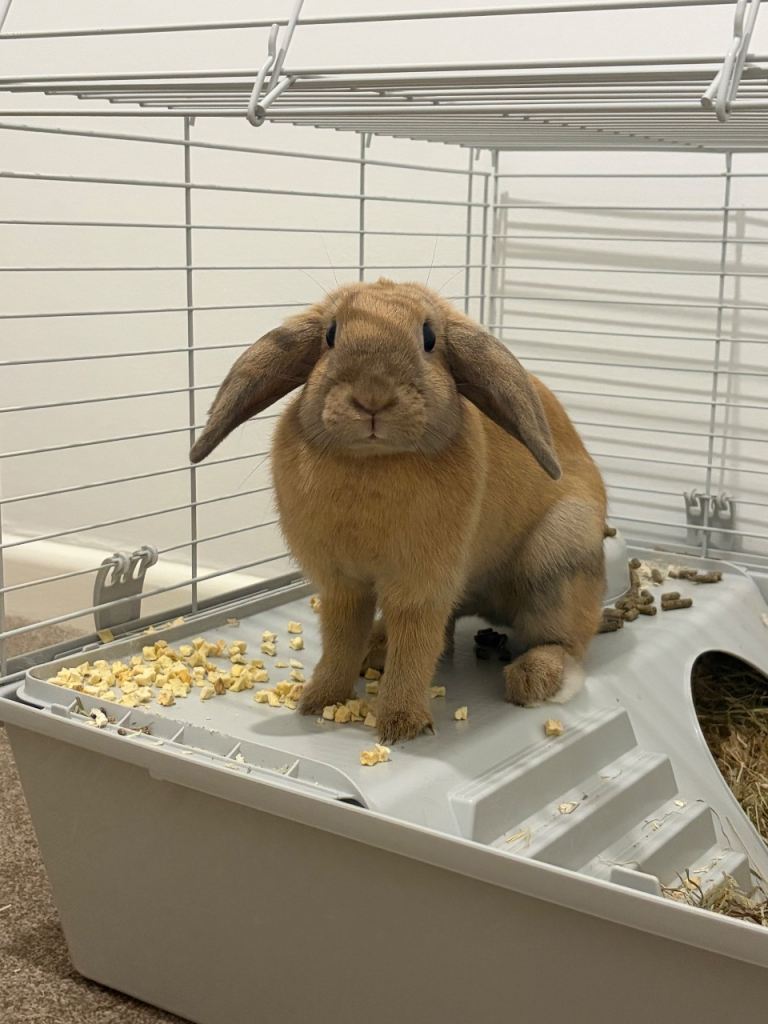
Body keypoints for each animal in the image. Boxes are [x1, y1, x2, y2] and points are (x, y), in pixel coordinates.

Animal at [190, 279, 607, 744]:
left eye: (429, 338)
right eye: (330, 335)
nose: (373, 397)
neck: (374, 462)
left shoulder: (422, 585)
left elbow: (416, 646)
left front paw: (400, 725)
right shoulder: (341, 585)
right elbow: (340, 639)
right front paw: (318, 700)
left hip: (559, 561)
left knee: (563, 641)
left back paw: (533, 679)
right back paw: (376, 648)